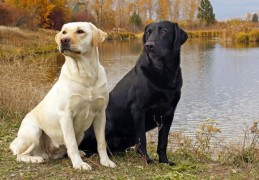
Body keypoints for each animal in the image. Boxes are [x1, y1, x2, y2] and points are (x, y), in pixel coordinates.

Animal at [9, 22, 116, 170]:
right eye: (64, 32)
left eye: (80, 31)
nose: (63, 40)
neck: (85, 74)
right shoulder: (66, 114)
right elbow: (71, 143)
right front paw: (79, 164)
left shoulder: (100, 113)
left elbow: (101, 142)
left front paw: (106, 161)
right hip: (33, 130)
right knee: (20, 155)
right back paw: (35, 159)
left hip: (80, 133)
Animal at [80, 20, 188, 165]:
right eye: (148, 32)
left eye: (163, 31)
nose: (149, 46)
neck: (163, 72)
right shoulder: (138, 109)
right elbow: (142, 139)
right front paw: (147, 160)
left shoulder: (169, 113)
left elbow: (163, 141)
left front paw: (164, 161)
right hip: (106, 124)